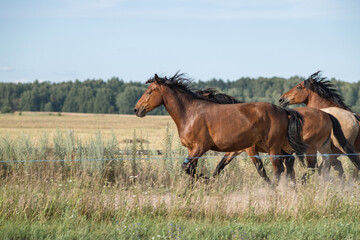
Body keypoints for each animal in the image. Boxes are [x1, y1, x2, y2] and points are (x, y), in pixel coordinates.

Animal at [135, 72, 306, 181]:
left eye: (150, 91)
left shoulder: (201, 147)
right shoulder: (193, 150)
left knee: (279, 169)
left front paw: (204, 180)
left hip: (272, 148)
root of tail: (283, 111)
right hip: (278, 148)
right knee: (288, 164)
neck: (190, 113)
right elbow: (193, 169)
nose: (137, 109)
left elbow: (188, 168)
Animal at [197, 89, 360, 183]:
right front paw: (208, 182)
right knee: (335, 165)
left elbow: (261, 169)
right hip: (325, 148)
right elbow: (219, 166)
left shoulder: (251, 149)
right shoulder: (236, 151)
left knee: (318, 167)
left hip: (315, 149)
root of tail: (327, 115)